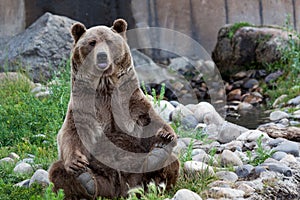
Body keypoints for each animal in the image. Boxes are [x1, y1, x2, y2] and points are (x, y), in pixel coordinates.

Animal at [48, 19, 179, 200]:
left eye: (109, 42)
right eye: (92, 42)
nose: (102, 55)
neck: (105, 85)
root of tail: (120, 191)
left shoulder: (130, 102)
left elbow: (149, 120)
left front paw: (166, 135)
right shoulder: (83, 106)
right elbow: (71, 132)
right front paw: (76, 162)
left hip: (138, 172)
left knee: (169, 162)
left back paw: (158, 156)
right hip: (102, 177)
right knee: (58, 171)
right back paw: (85, 180)